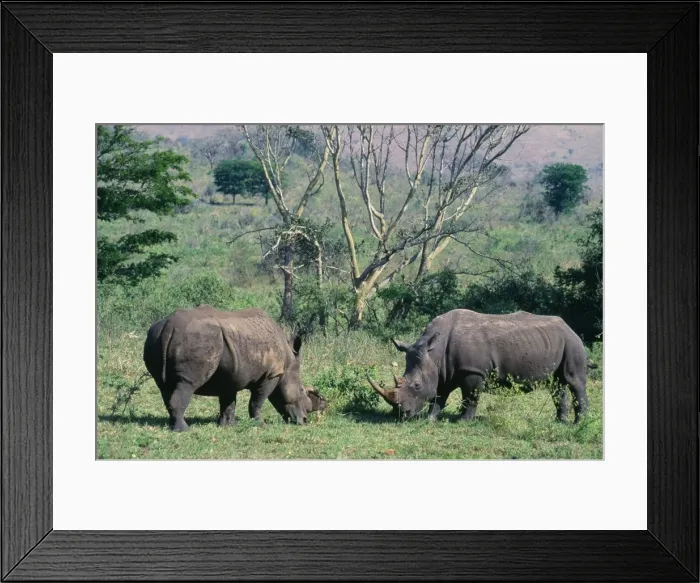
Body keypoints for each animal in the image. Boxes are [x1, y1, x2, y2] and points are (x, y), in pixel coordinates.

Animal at [143, 305, 326, 431]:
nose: (304, 421)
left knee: (165, 386)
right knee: (187, 383)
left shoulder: (231, 374)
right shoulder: (271, 374)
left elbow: (228, 401)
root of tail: (169, 326)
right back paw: (184, 430)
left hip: (154, 337)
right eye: (302, 391)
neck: (287, 364)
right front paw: (260, 424)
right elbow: (257, 401)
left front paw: (228, 425)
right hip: (197, 338)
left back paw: (172, 425)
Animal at [367, 309, 592, 423]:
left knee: (573, 381)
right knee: (557, 384)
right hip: (555, 342)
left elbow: (470, 397)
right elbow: (439, 395)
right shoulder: (442, 371)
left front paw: (463, 422)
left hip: (572, 343)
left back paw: (578, 424)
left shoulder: (472, 370)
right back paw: (560, 422)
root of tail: (570, 328)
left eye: (416, 386)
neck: (434, 352)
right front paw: (430, 420)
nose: (401, 415)